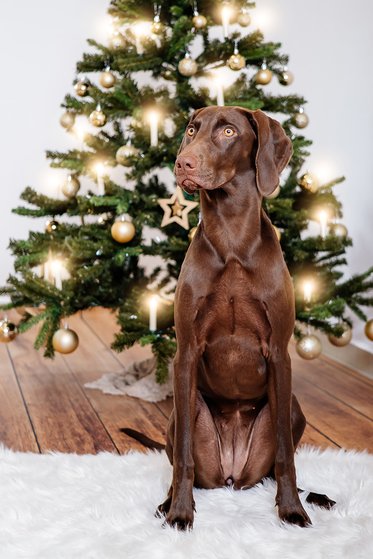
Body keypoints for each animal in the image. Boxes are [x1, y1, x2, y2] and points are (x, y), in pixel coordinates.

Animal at [154, 107, 334, 532]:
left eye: (228, 132)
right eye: (191, 130)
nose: (183, 163)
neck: (232, 235)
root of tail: (232, 475)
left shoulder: (280, 354)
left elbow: (286, 457)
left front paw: (291, 510)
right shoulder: (186, 353)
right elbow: (182, 457)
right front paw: (180, 513)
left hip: (291, 405)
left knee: (276, 462)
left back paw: (311, 497)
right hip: (182, 409)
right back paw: (167, 502)